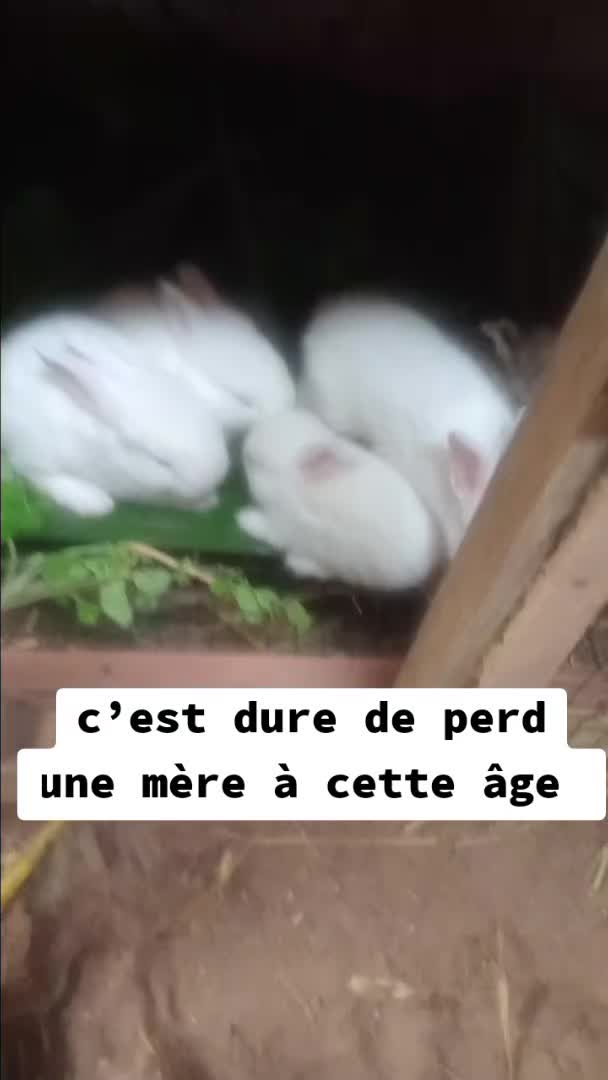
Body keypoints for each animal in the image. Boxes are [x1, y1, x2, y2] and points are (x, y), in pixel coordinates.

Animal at [1, 310, 231, 516]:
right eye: (158, 460)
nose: (214, 477)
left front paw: (208, 501)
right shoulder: (35, 456)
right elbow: (45, 479)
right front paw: (95, 503)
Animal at [237, 407, 441, 591]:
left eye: (256, 462)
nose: (245, 445)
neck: (291, 487)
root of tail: (425, 566)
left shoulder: (284, 526)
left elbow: (267, 530)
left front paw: (244, 519)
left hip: (347, 561)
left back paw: (298, 564)